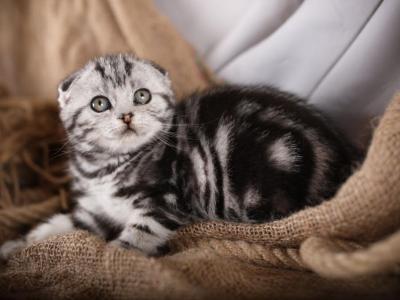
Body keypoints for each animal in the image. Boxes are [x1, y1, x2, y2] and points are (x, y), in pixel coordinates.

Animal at [0, 54, 356, 258]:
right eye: (100, 103)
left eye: (142, 96)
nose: (126, 117)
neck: (105, 168)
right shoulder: (95, 212)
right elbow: (60, 225)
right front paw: (18, 245)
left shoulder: (165, 202)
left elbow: (136, 237)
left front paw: (114, 255)